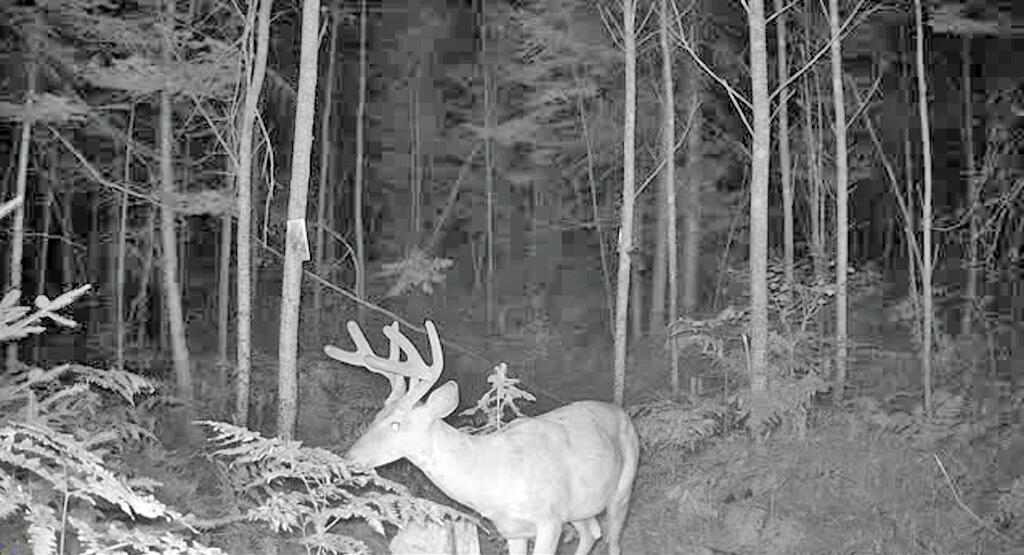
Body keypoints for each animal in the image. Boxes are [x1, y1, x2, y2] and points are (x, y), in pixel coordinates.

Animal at [324, 320, 640, 555]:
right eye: (377, 416)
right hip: (580, 507)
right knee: (591, 532)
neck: (492, 479)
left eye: (395, 424)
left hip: (623, 488)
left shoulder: (550, 520)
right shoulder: (513, 529)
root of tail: (622, 413)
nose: (349, 457)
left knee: (612, 541)